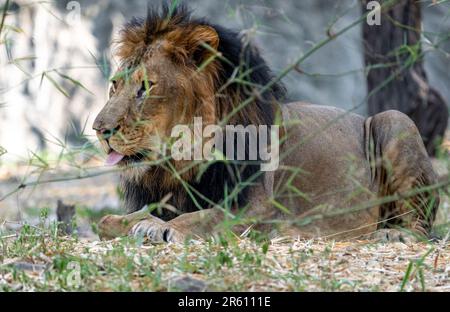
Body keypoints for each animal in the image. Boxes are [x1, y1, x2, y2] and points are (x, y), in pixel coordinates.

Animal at [92, 5, 440, 244]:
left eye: (145, 87)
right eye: (115, 85)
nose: (100, 130)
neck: (183, 162)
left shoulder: (258, 210)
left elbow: (204, 217)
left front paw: (159, 227)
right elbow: (106, 222)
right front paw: (135, 222)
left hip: (394, 120)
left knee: (421, 226)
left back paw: (394, 235)